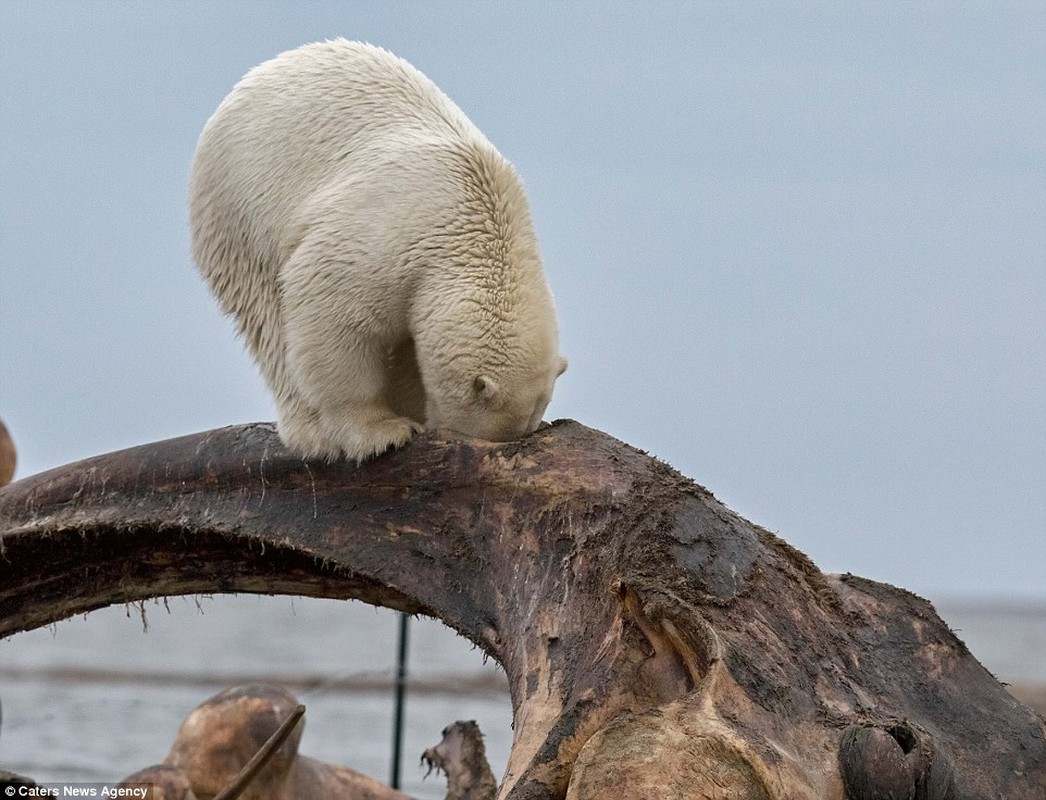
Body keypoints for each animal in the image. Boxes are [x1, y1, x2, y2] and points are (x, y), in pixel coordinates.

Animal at [188, 38, 564, 462]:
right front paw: (382, 432)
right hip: (240, 212)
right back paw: (312, 433)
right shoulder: (385, 241)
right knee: (268, 320)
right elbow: (333, 314)